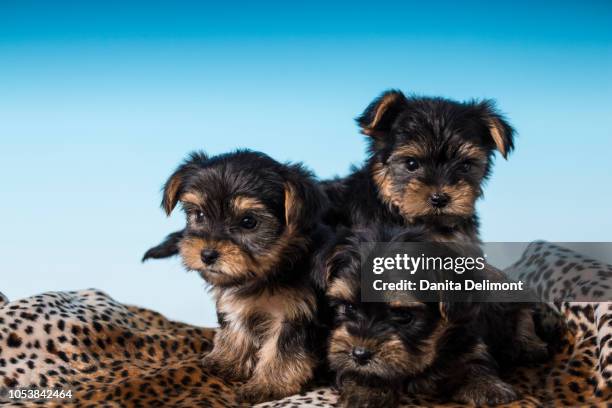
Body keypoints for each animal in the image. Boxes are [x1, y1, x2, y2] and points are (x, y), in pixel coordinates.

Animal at [143, 150, 330, 402]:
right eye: (199, 215)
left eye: (249, 222)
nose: (207, 254)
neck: (267, 273)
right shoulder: (235, 303)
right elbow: (236, 326)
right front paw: (228, 361)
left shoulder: (295, 312)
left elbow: (281, 350)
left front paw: (268, 385)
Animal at [326, 225, 548, 406]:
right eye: (349, 308)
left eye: (404, 315)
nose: (360, 354)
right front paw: (365, 390)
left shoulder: (467, 340)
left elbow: (474, 363)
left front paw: (487, 386)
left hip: (515, 295)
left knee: (524, 316)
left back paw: (530, 345)